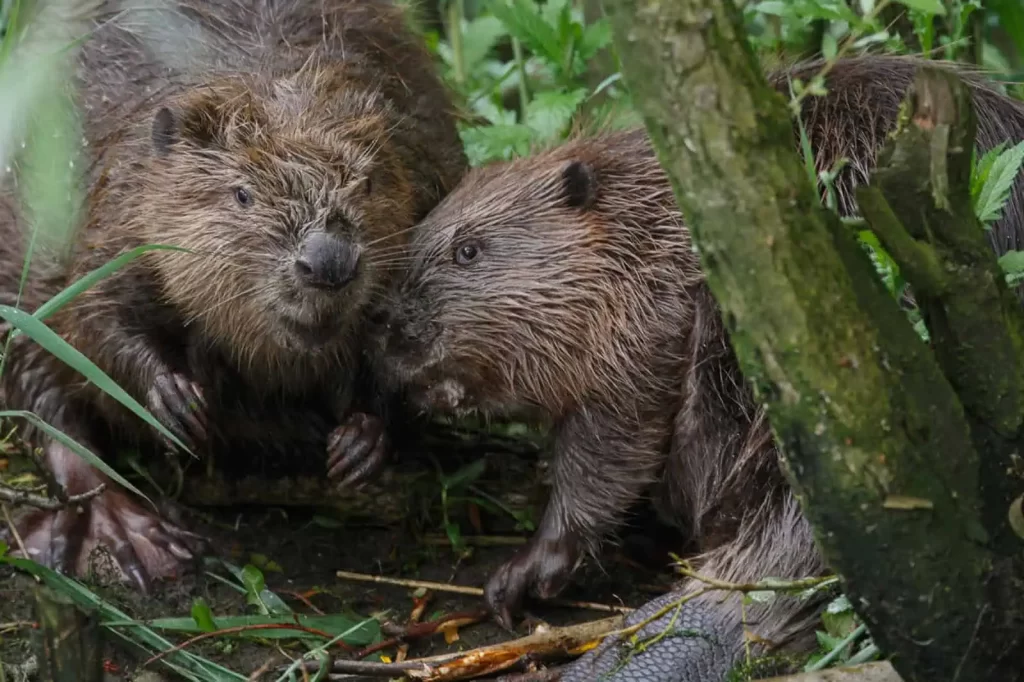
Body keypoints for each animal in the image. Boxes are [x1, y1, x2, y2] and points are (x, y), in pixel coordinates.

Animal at [0, 0, 464, 589]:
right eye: (242, 194)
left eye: (368, 183)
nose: (328, 262)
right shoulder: (112, 213)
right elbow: (93, 319)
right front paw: (174, 399)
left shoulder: (429, 174)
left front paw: (361, 439)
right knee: (47, 405)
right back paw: (129, 538)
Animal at [372, 54, 1024, 679]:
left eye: (468, 251)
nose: (388, 331)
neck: (655, 225)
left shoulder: (645, 330)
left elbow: (606, 453)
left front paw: (521, 575)